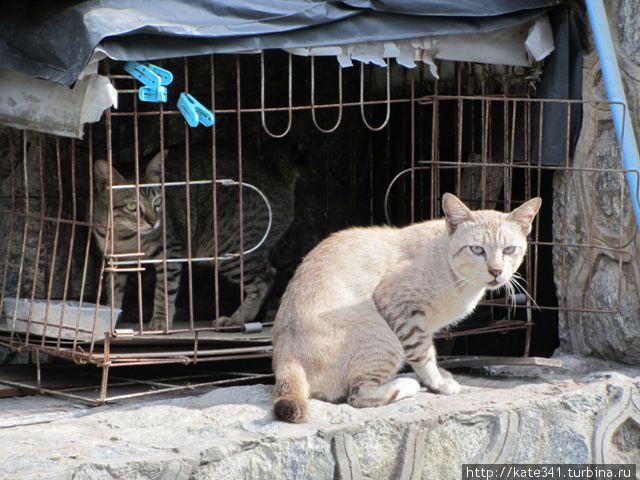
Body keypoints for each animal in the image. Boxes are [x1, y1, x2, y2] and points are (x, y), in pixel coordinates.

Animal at [94, 145, 302, 330]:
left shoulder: (170, 253)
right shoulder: (115, 260)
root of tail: (277, 174)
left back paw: (236, 319)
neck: (124, 235)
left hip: (229, 248)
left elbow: (164, 291)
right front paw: (110, 317)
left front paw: (161, 320)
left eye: (158, 202)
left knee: (264, 279)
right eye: (132, 207)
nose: (154, 222)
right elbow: (113, 292)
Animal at [270, 193, 540, 422]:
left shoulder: (422, 323)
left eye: (509, 250)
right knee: (356, 395)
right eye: (477, 250)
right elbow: (423, 354)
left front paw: (438, 376)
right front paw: (439, 383)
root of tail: (285, 355)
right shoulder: (401, 308)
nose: (496, 271)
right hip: (385, 338)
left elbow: (429, 352)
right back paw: (407, 383)